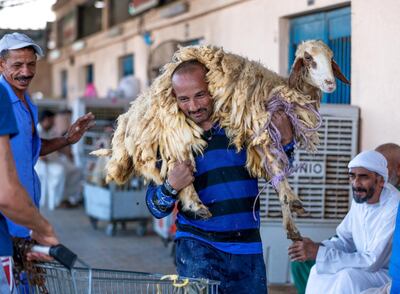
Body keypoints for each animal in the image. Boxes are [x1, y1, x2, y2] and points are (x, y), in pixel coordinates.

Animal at [92, 39, 348, 241]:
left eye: (331, 58)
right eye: (308, 58)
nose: (330, 83)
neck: (283, 89)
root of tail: (134, 112)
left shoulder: (260, 141)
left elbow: (277, 178)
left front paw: (292, 222)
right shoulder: (262, 132)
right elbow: (280, 178)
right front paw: (292, 205)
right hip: (174, 130)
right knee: (179, 172)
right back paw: (197, 206)